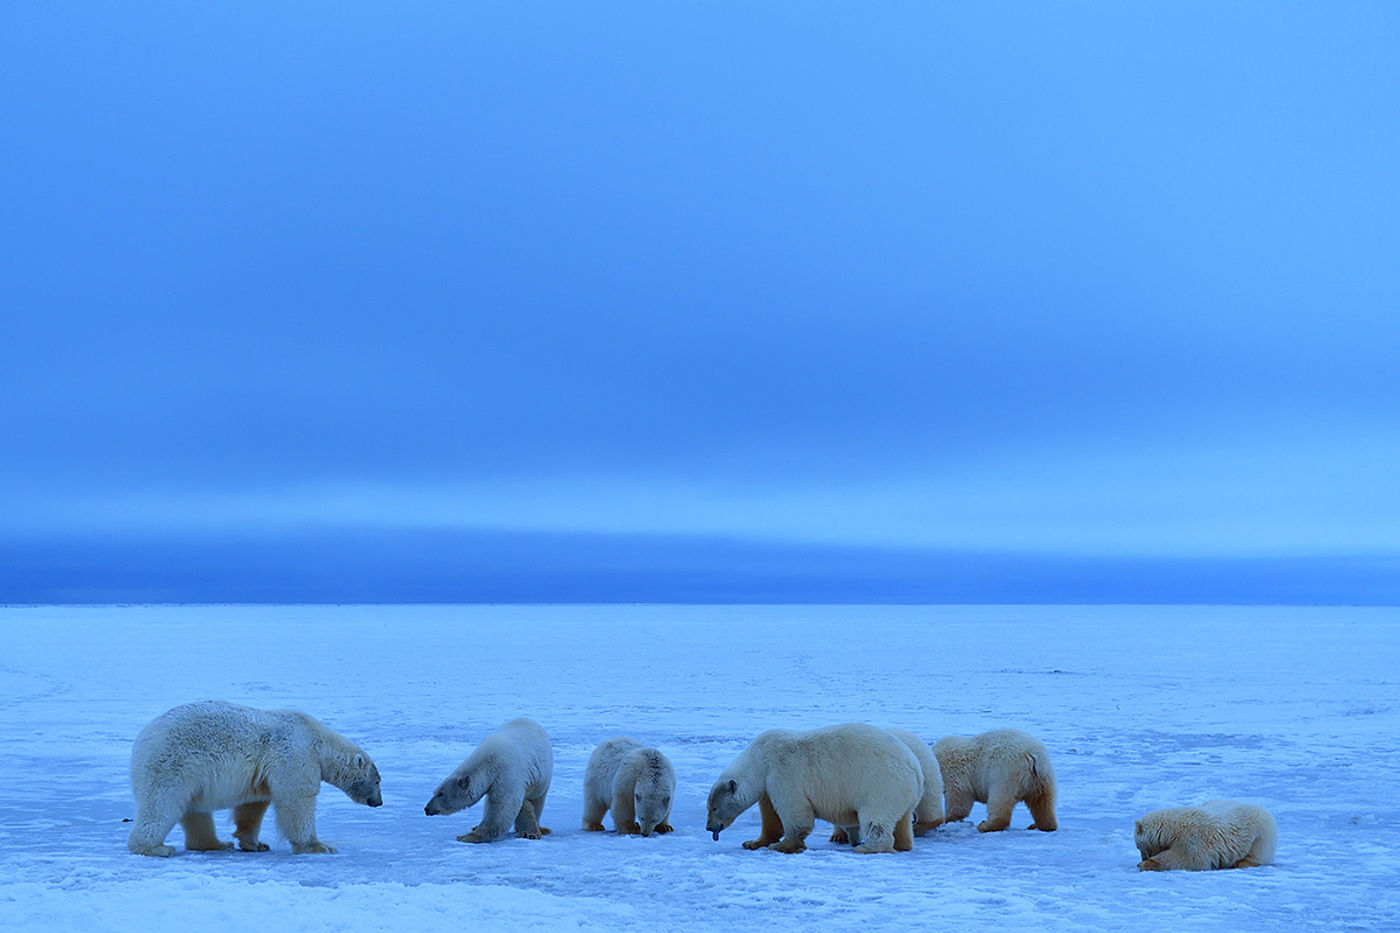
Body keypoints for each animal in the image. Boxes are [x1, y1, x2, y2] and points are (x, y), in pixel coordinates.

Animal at [126, 694, 383, 851]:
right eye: (378, 781)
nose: (379, 802)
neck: (317, 740)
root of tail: (142, 739)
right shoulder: (296, 755)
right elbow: (297, 800)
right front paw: (318, 846)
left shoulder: (264, 774)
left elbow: (253, 806)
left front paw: (254, 843)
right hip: (173, 764)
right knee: (162, 804)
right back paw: (154, 848)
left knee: (195, 811)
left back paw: (216, 844)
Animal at [422, 714, 554, 840]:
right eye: (434, 792)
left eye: (441, 794)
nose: (426, 809)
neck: (489, 760)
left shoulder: (507, 774)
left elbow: (501, 808)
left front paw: (467, 837)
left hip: (543, 778)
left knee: (537, 800)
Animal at [705, 717, 924, 851]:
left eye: (714, 808)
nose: (708, 828)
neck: (760, 758)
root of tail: (915, 768)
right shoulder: (767, 785)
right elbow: (770, 816)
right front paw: (753, 842)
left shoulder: (783, 773)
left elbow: (794, 811)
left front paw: (783, 845)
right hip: (904, 794)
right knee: (902, 822)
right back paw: (903, 844)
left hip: (882, 785)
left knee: (875, 818)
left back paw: (867, 848)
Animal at [1136, 795, 1282, 868]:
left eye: (1138, 846)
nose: (1143, 857)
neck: (1173, 828)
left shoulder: (1192, 837)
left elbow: (1188, 859)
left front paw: (1146, 864)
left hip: (1261, 833)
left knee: (1258, 853)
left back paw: (1241, 863)